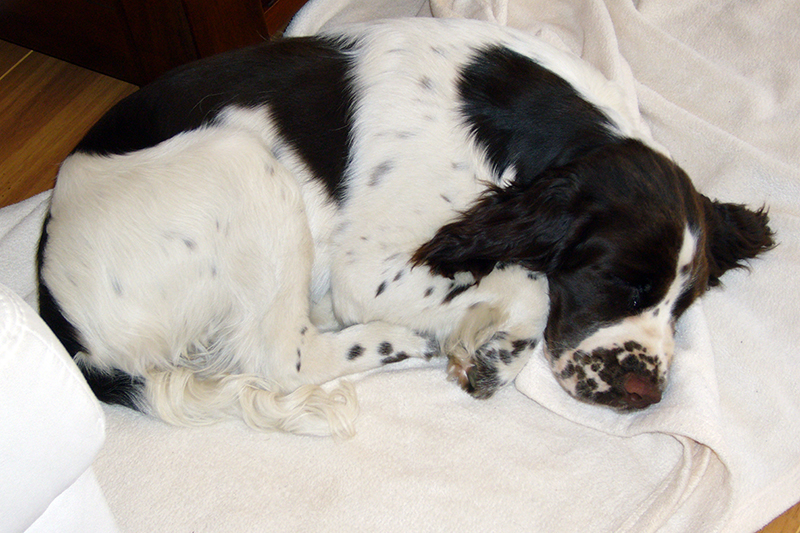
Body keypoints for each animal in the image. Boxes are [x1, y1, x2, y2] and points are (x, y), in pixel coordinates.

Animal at [37, 18, 776, 434]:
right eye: (619, 283)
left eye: (682, 306)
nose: (644, 394)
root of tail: (64, 324)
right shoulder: (367, 267)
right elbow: (531, 283)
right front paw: (488, 336)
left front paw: (493, 355)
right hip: (241, 161)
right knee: (283, 357)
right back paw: (401, 339)